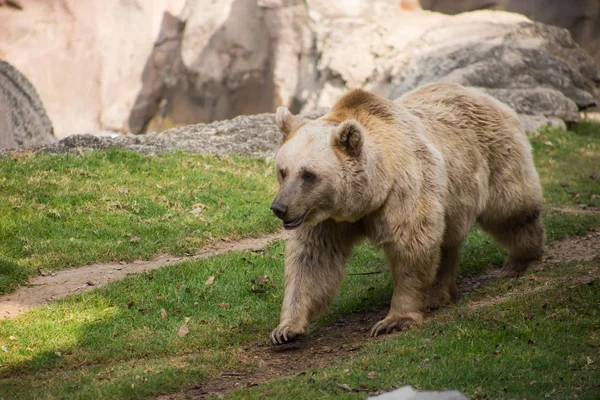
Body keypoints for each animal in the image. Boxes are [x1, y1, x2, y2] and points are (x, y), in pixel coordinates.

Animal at [270, 82, 548, 344]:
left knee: (511, 209)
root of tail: (482, 94)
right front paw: (286, 329)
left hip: (493, 156)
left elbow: (411, 245)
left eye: (308, 174)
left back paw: (520, 260)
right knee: (447, 243)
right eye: (283, 171)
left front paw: (393, 320)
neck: (367, 197)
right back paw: (439, 293)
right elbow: (313, 260)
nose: (279, 208)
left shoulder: (404, 190)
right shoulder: (327, 220)